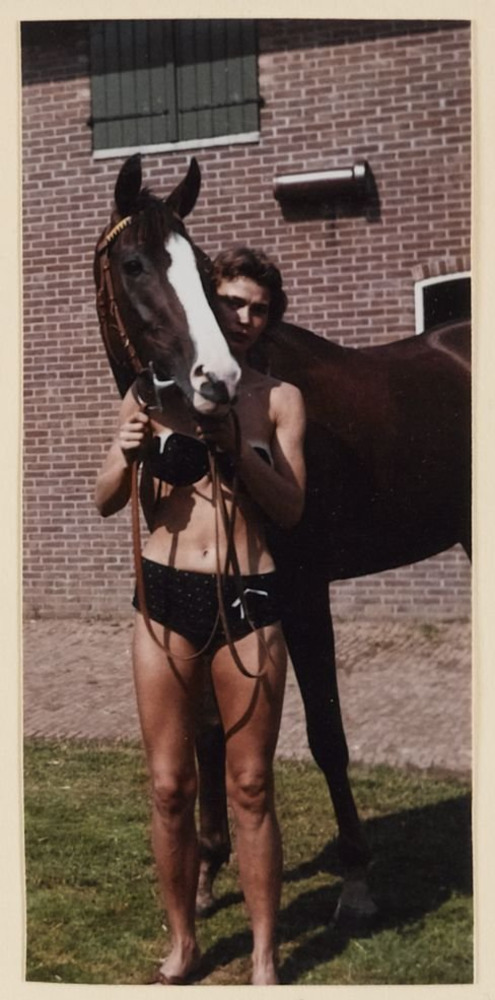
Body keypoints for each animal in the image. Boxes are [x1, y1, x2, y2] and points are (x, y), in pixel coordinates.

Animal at [94, 154, 471, 925]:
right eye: (135, 262)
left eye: (202, 267)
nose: (214, 379)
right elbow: (209, 730)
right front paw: (208, 868)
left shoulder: (299, 588)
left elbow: (326, 731)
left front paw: (356, 878)